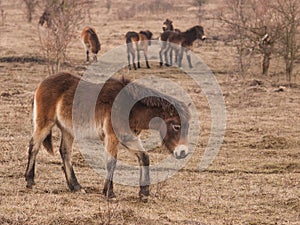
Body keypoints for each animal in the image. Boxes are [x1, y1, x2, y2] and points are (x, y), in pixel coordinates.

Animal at [25, 72, 190, 200]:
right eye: (176, 126)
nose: (183, 152)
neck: (129, 107)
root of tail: (42, 83)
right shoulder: (112, 137)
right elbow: (111, 162)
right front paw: (109, 193)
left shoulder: (129, 138)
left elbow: (144, 157)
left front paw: (144, 192)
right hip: (45, 124)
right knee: (34, 146)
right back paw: (30, 180)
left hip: (67, 130)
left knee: (65, 152)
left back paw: (76, 186)